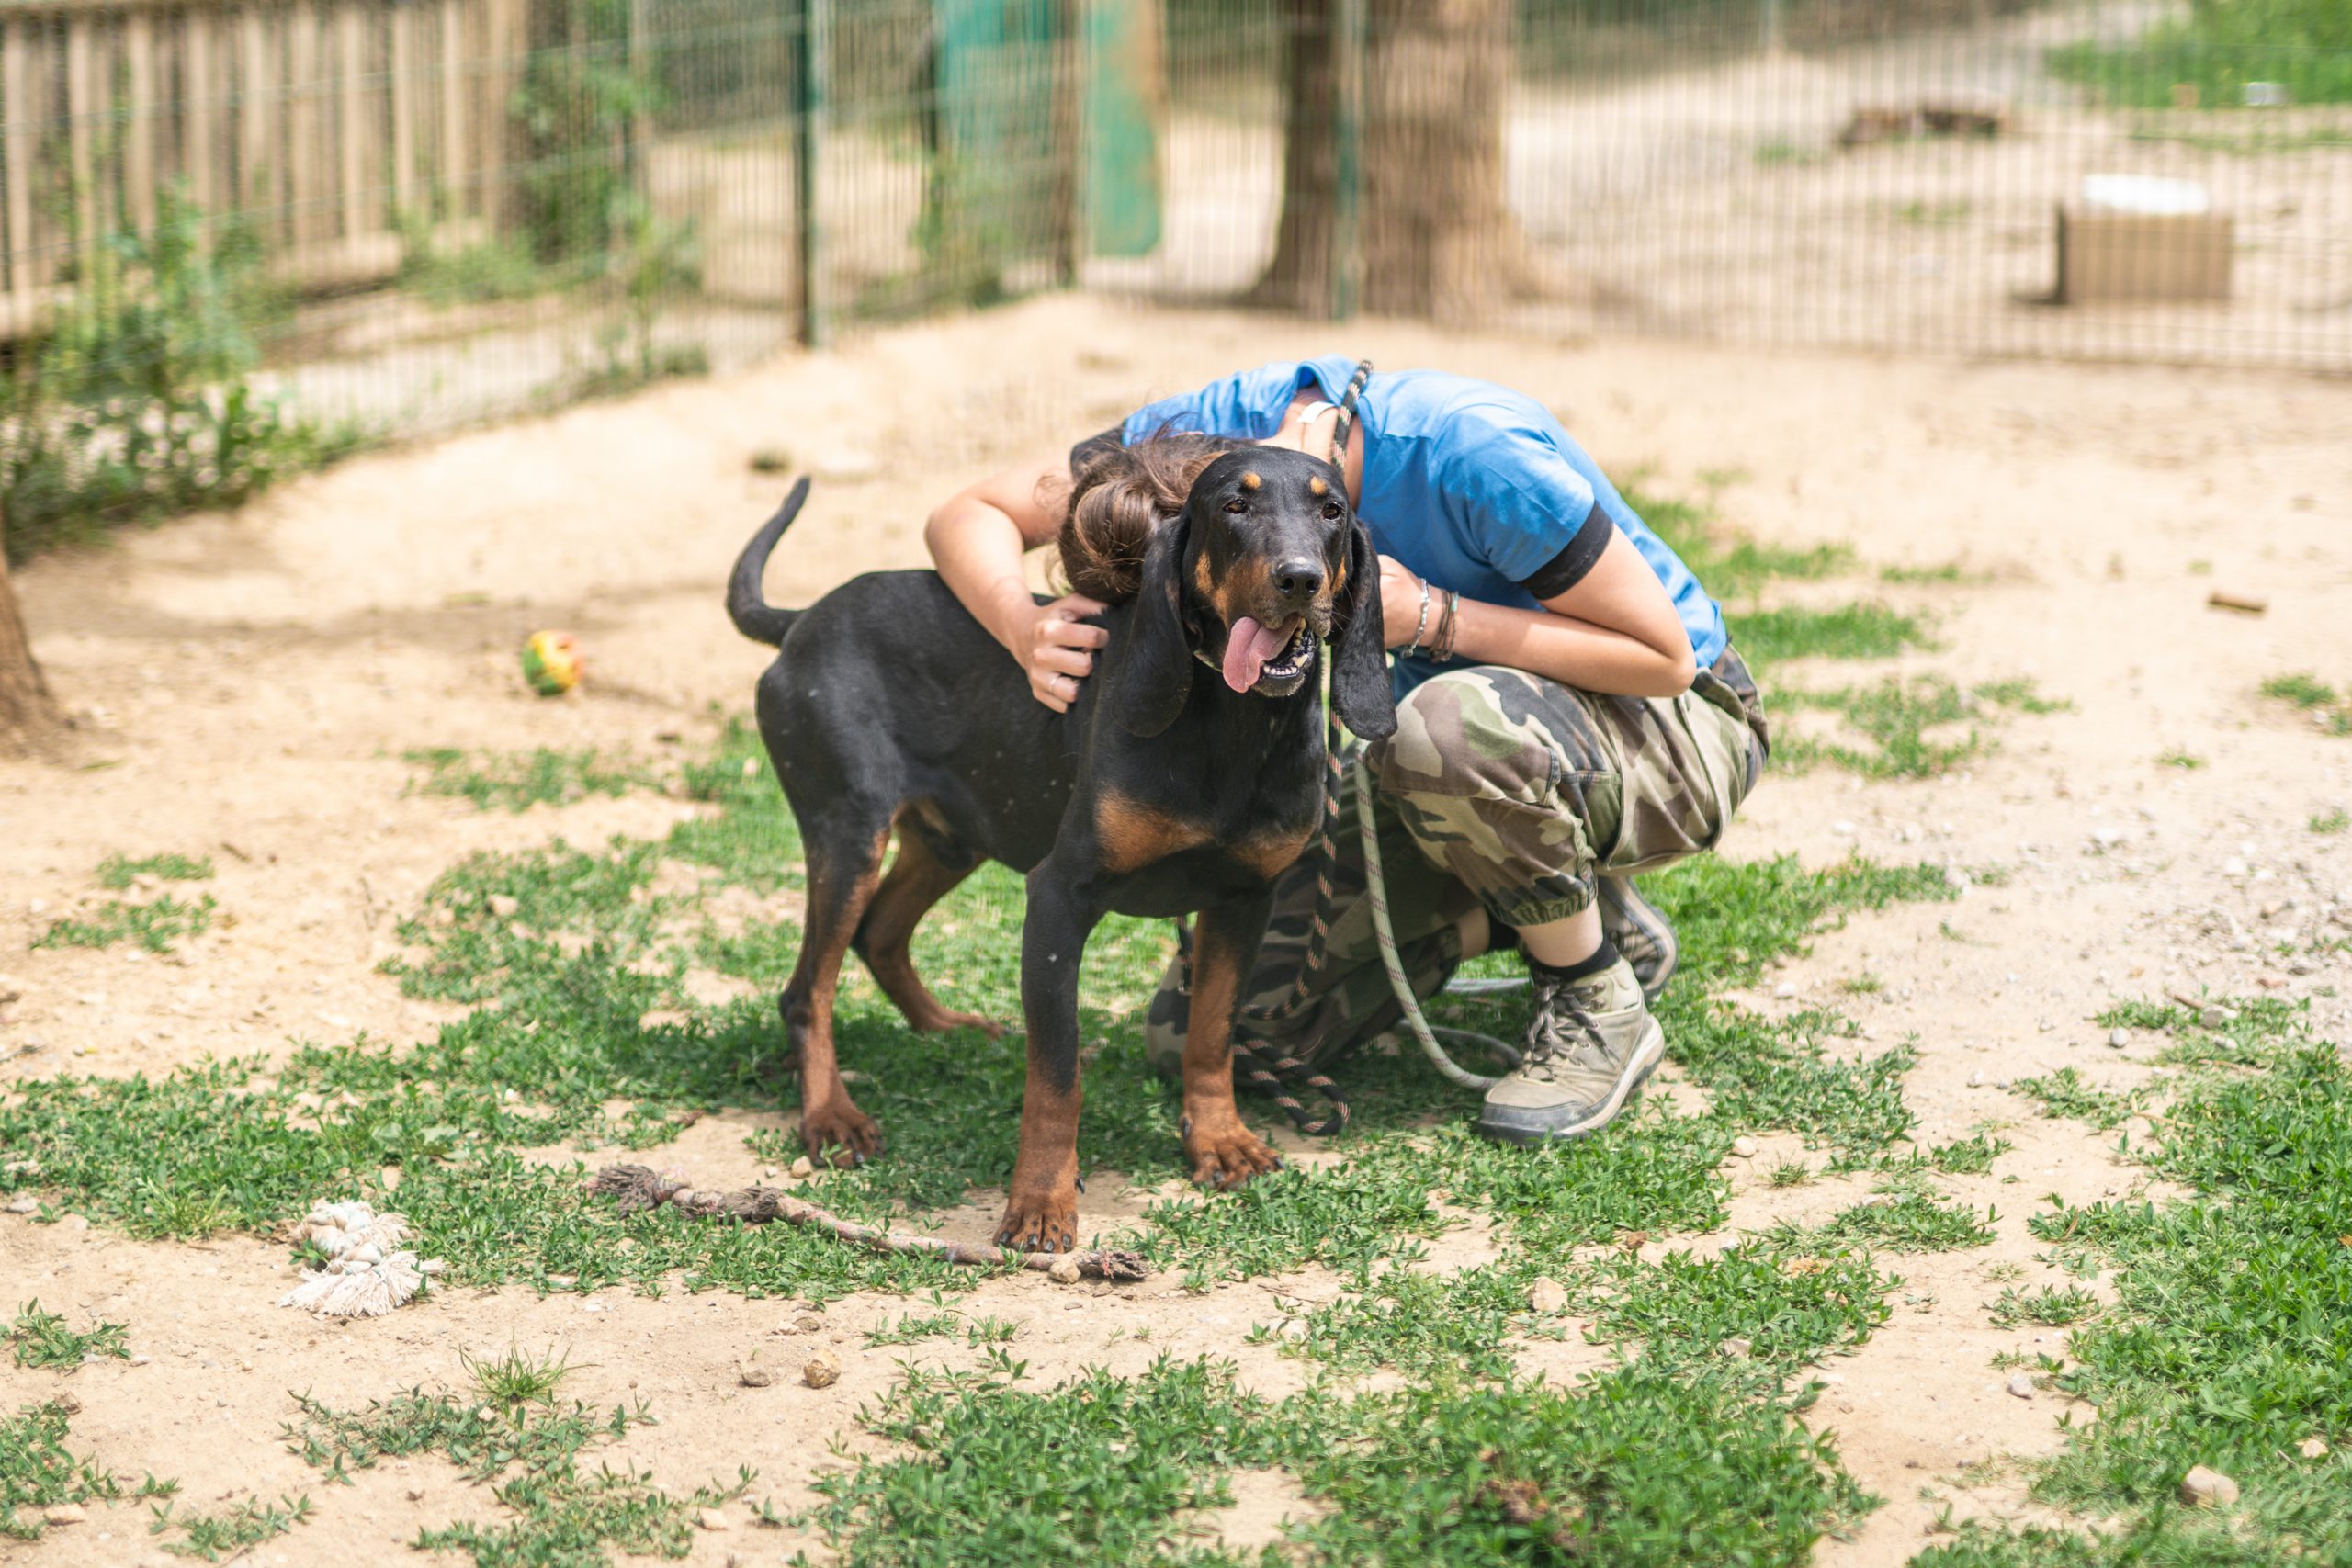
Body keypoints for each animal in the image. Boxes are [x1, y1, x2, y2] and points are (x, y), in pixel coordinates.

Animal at [724, 442, 1383, 1250]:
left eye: (1333, 510)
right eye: (1234, 504)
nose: (1299, 579)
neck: (1232, 722)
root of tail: (802, 620)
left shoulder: (1243, 900)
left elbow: (1211, 1034)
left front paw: (1219, 1139)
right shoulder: (1060, 899)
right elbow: (1057, 1078)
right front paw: (1040, 1202)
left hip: (952, 837)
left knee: (879, 933)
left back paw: (950, 1029)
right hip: (849, 834)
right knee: (807, 990)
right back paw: (831, 1114)